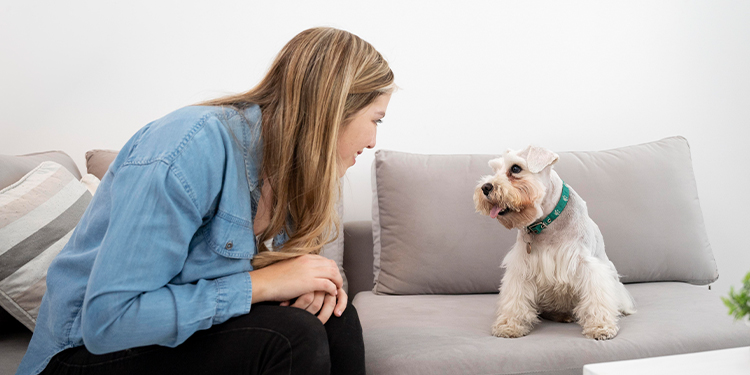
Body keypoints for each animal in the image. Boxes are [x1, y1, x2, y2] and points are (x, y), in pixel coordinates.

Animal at [476, 145, 636, 342]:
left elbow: (596, 297)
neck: (547, 222)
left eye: (515, 168)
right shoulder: (521, 267)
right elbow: (515, 298)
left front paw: (601, 327)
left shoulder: (588, 266)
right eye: (495, 169)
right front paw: (509, 326)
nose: (485, 187)